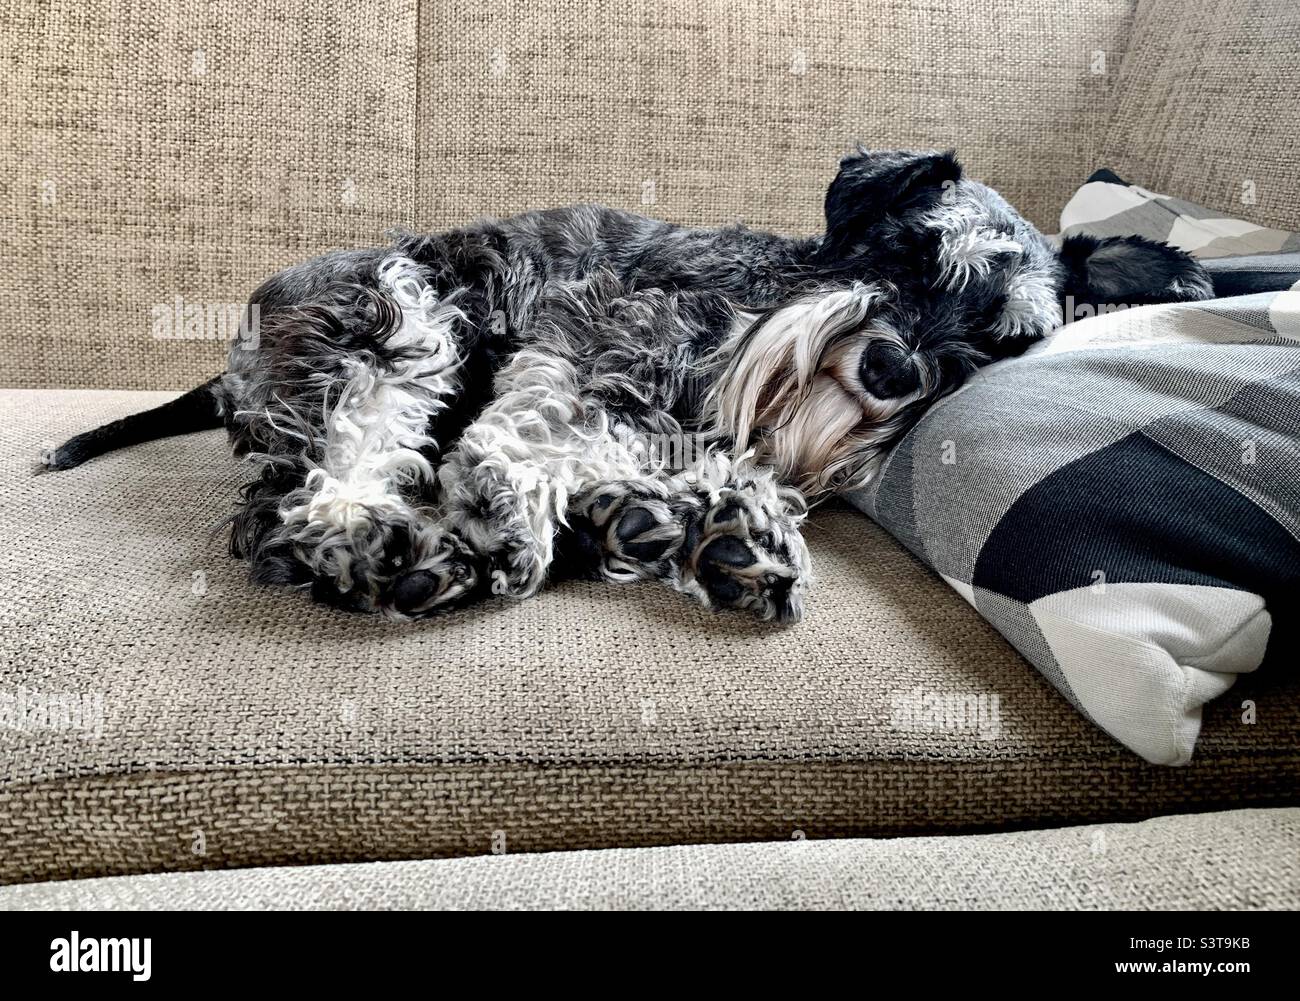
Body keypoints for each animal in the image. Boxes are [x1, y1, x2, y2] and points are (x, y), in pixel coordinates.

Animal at [45, 146, 1211, 624]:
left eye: (998, 340)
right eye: (909, 249)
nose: (890, 366)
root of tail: (235, 357)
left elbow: (667, 462)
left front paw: (717, 522)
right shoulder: (598, 334)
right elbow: (540, 430)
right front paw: (512, 499)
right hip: (399, 312)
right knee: (302, 498)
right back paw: (398, 550)